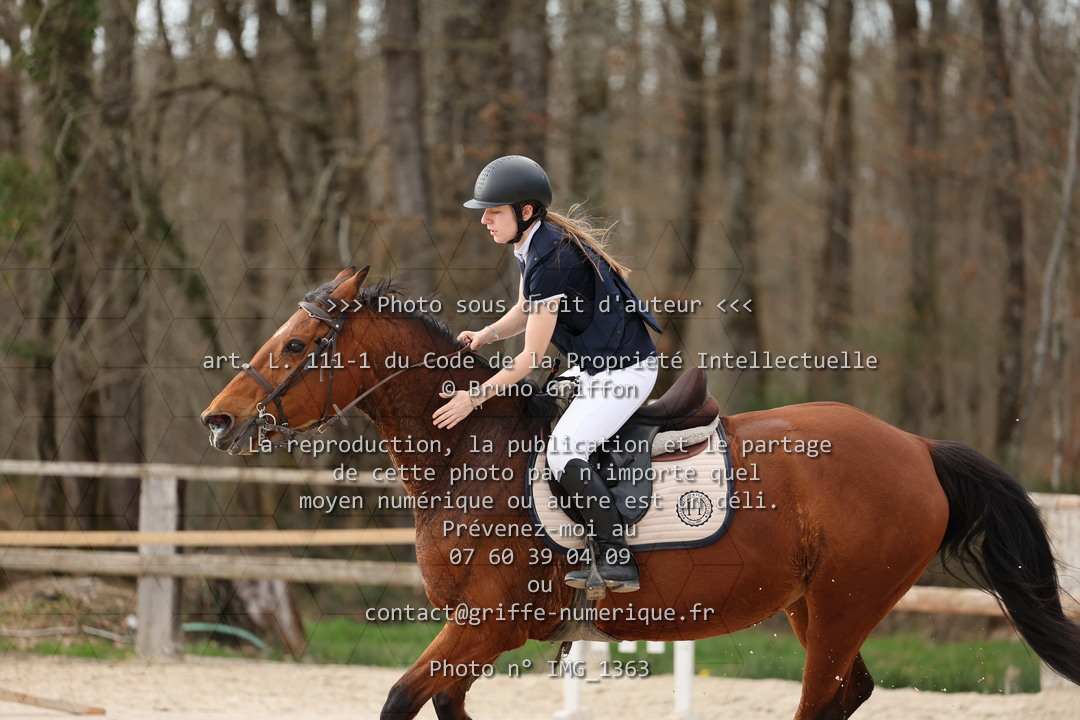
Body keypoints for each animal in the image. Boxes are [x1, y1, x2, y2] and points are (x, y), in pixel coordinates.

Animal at [201, 266, 1080, 720]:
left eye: (298, 346)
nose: (219, 420)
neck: (465, 453)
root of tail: (917, 448)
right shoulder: (477, 635)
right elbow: (443, 706)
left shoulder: (484, 624)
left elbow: (397, 701)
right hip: (816, 602)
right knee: (849, 691)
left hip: (842, 601)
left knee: (823, 695)